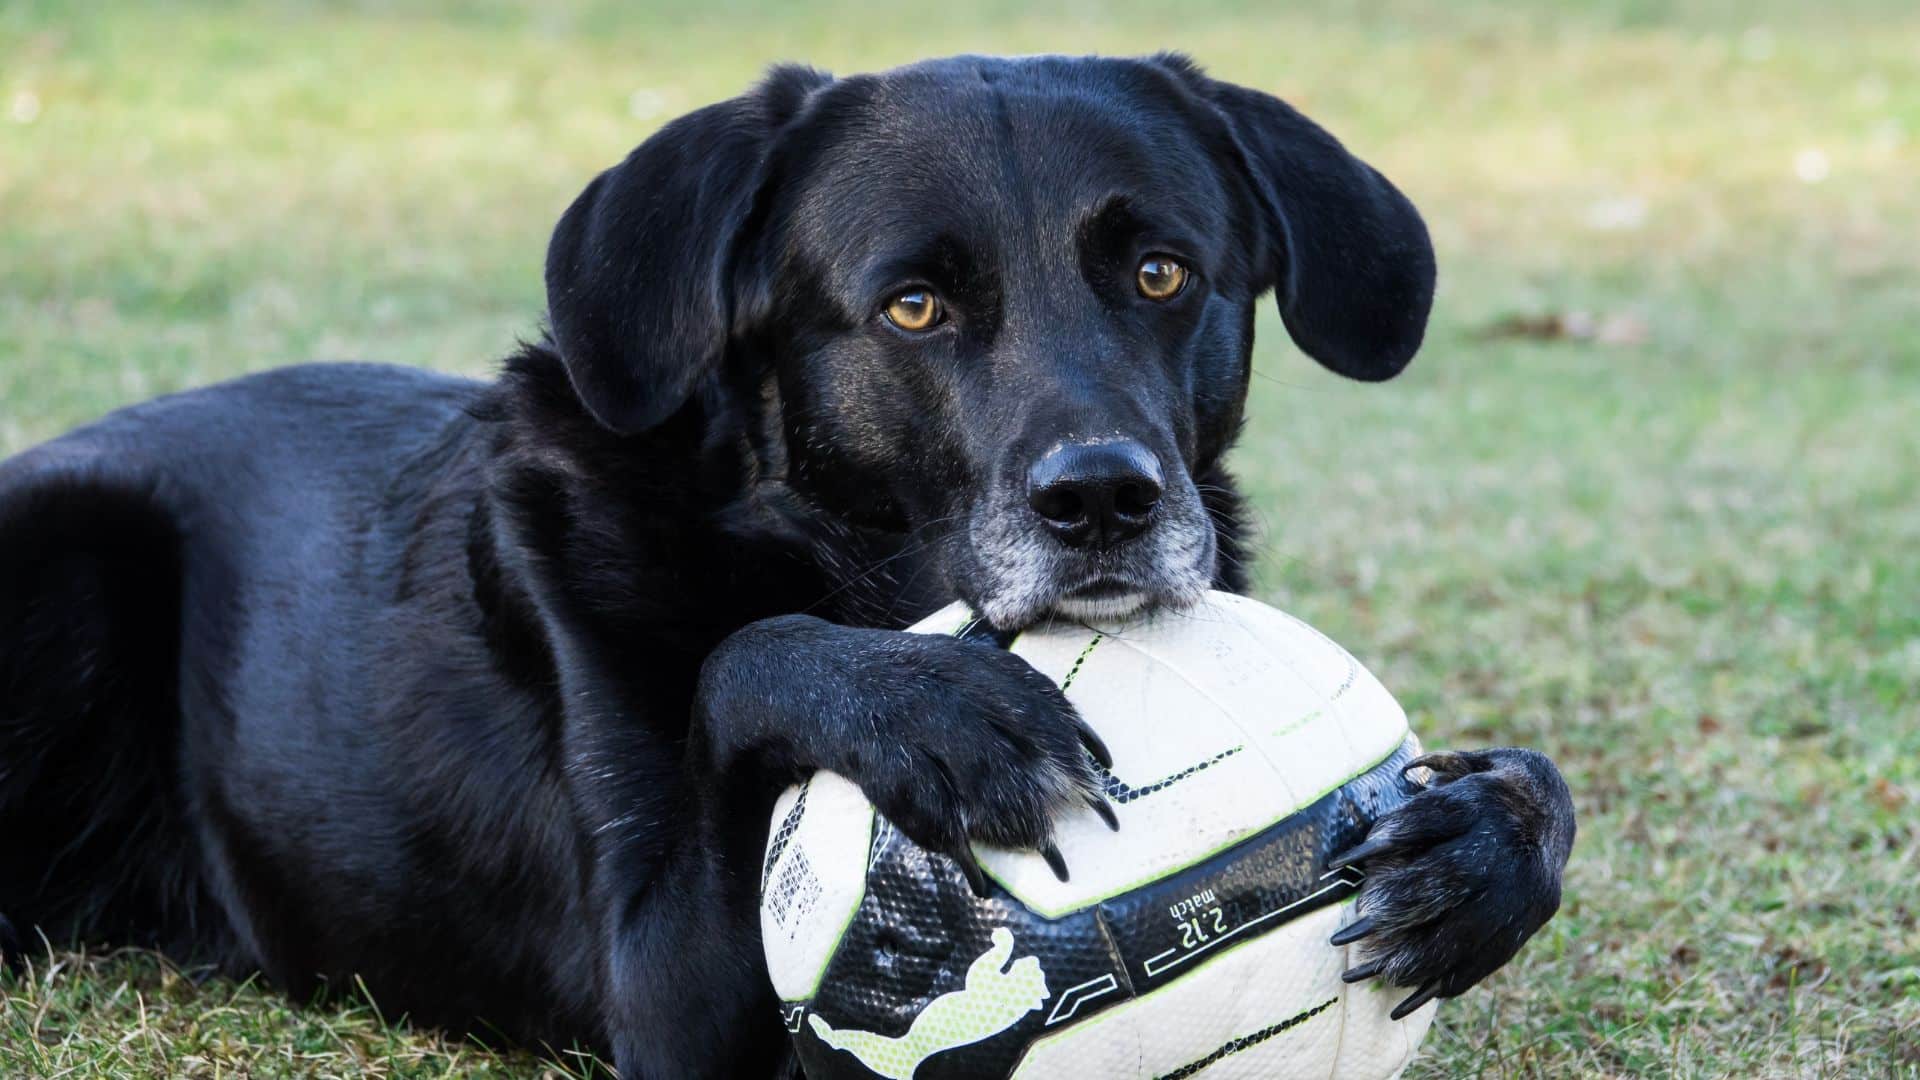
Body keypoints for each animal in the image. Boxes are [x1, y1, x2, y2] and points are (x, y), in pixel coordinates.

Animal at [0, 54, 1574, 1068]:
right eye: (916, 305)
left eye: (1161, 273)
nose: (1106, 502)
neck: (824, 556)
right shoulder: (666, 989)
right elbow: (738, 660)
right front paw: (938, 713)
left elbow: (1537, 783)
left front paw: (1482, 842)